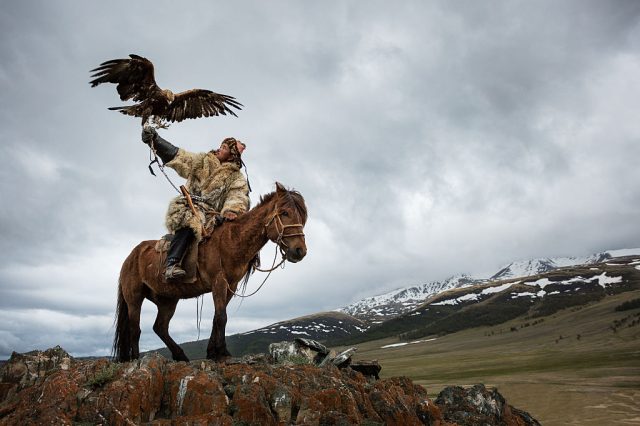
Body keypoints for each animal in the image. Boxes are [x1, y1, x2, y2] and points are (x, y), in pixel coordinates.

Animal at [114, 183, 308, 362]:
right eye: (285, 213)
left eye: (303, 217)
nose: (300, 251)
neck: (232, 239)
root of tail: (130, 257)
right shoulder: (219, 282)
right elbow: (221, 316)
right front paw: (222, 352)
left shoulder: (231, 286)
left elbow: (217, 317)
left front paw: (213, 352)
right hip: (134, 297)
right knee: (135, 328)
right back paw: (135, 358)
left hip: (167, 299)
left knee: (160, 327)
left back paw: (180, 355)